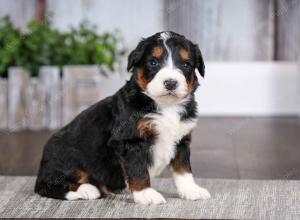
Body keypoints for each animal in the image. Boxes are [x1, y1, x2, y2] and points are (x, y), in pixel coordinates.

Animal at [34, 31, 211, 205]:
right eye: (153, 62)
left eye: (186, 64)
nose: (171, 83)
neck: (166, 106)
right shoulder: (131, 140)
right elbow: (138, 169)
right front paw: (146, 194)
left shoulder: (182, 139)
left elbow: (183, 169)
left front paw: (191, 190)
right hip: (67, 158)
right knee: (46, 186)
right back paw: (87, 190)